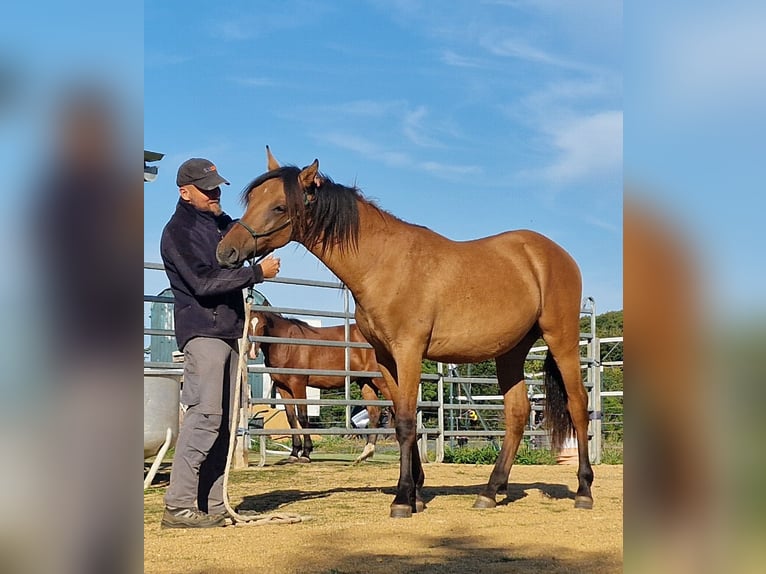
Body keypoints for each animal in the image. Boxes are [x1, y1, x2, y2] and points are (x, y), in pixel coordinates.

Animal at [248, 310, 394, 464]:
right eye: (248, 324)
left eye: (263, 326)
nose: (252, 353)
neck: (287, 345)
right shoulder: (283, 388)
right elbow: (291, 418)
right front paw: (294, 453)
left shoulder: (298, 384)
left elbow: (303, 417)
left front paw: (306, 453)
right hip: (366, 382)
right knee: (374, 412)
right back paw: (365, 454)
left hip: (381, 381)